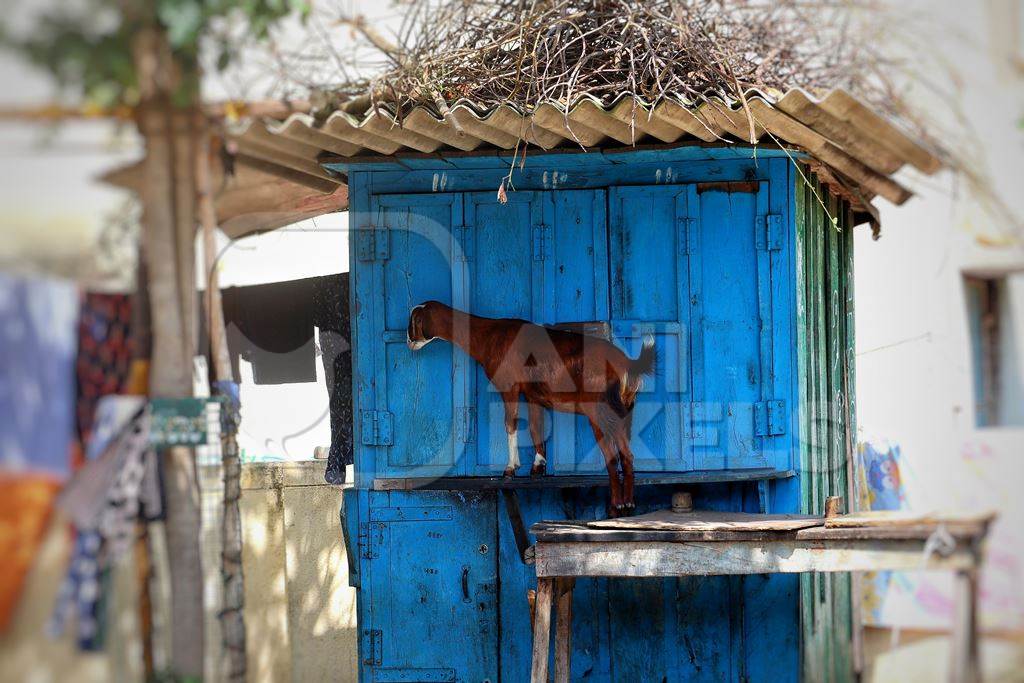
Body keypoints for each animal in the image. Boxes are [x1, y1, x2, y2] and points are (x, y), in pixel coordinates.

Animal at [403, 301, 651, 516]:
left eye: (414, 319)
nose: (408, 341)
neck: (487, 335)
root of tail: (627, 364)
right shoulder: (533, 395)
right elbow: (535, 426)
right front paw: (537, 467)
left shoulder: (508, 385)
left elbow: (510, 423)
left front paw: (510, 469)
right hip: (625, 411)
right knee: (626, 455)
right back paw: (628, 503)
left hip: (599, 411)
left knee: (613, 457)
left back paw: (616, 505)